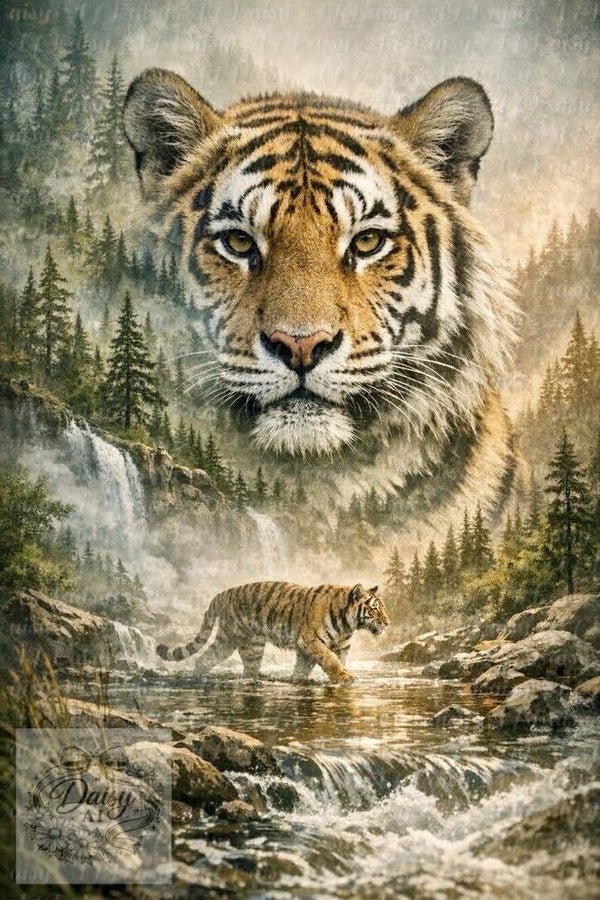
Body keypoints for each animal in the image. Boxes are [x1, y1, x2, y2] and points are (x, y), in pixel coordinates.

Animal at [156, 581, 390, 683]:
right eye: (374, 608)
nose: (388, 623)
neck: (346, 624)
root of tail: (222, 594)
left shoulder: (338, 646)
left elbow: (306, 667)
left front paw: (298, 679)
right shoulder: (310, 641)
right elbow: (330, 659)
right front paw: (344, 676)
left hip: (239, 643)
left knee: (207, 659)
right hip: (238, 640)